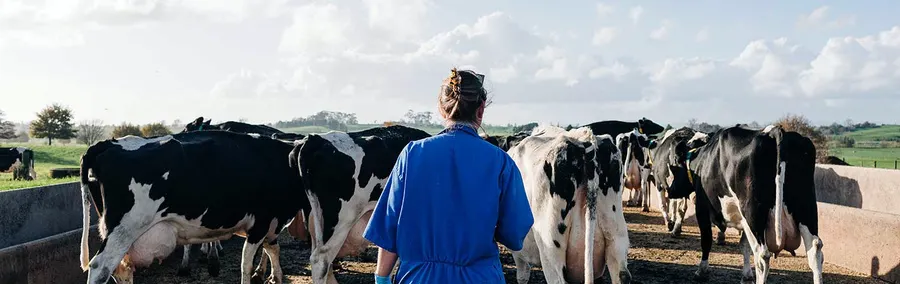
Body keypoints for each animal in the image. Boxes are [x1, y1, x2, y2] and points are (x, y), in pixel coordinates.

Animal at [77, 131, 310, 284]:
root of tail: (107, 143)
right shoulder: (261, 222)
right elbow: (247, 263)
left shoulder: (272, 223)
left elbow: (273, 250)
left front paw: (275, 277)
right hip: (125, 228)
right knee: (100, 267)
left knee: (121, 270)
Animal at [506, 126, 632, 284]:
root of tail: (584, 138)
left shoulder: (519, 253)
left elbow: (522, 275)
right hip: (616, 236)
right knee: (622, 274)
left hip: (551, 248)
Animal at [660, 125, 824, 282]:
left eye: (675, 168)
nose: (670, 190)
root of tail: (775, 131)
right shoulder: (742, 220)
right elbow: (744, 245)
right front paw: (746, 274)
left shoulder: (702, 208)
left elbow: (706, 240)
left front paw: (701, 270)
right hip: (806, 210)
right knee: (815, 250)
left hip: (753, 213)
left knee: (762, 256)